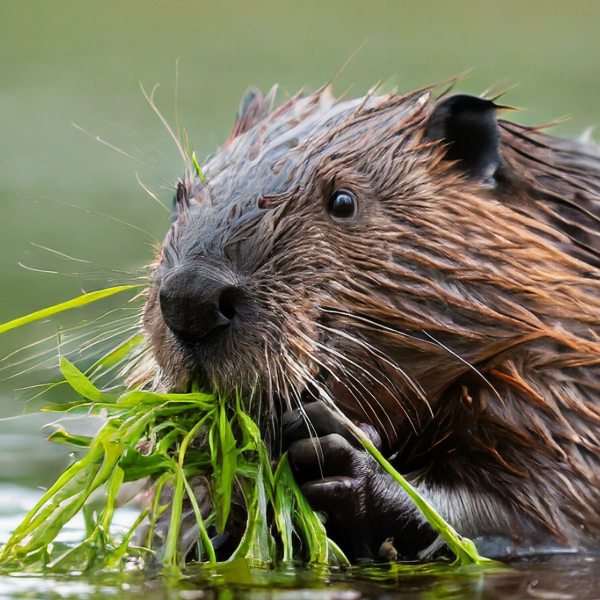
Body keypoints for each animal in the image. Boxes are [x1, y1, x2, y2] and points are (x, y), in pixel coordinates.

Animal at [135, 83, 600, 564]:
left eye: (343, 201)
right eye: (177, 198)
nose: (191, 298)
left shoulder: (558, 385)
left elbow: (530, 510)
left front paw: (337, 449)